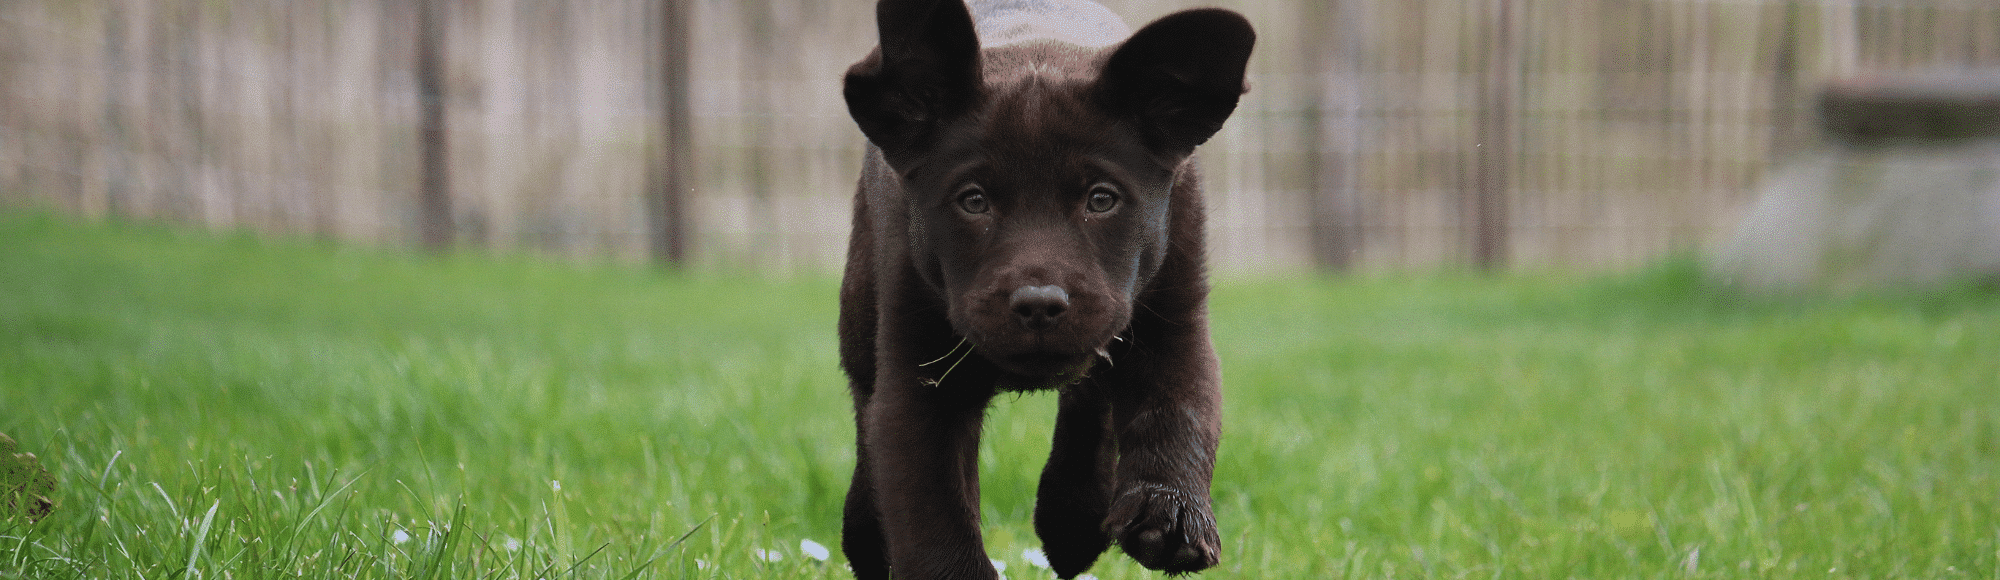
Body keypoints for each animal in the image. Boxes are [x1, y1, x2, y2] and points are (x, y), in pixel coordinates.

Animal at [832, 2, 1248, 576]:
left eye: (1102, 199)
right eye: (973, 200)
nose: (1039, 304)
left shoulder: (1174, 317)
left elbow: (1180, 408)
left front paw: (1171, 514)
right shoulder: (918, 378)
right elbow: (935, 516)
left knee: (1091, 398)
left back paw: (1071, 520)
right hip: (860, 315)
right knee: (864, 413)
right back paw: (866, 532)